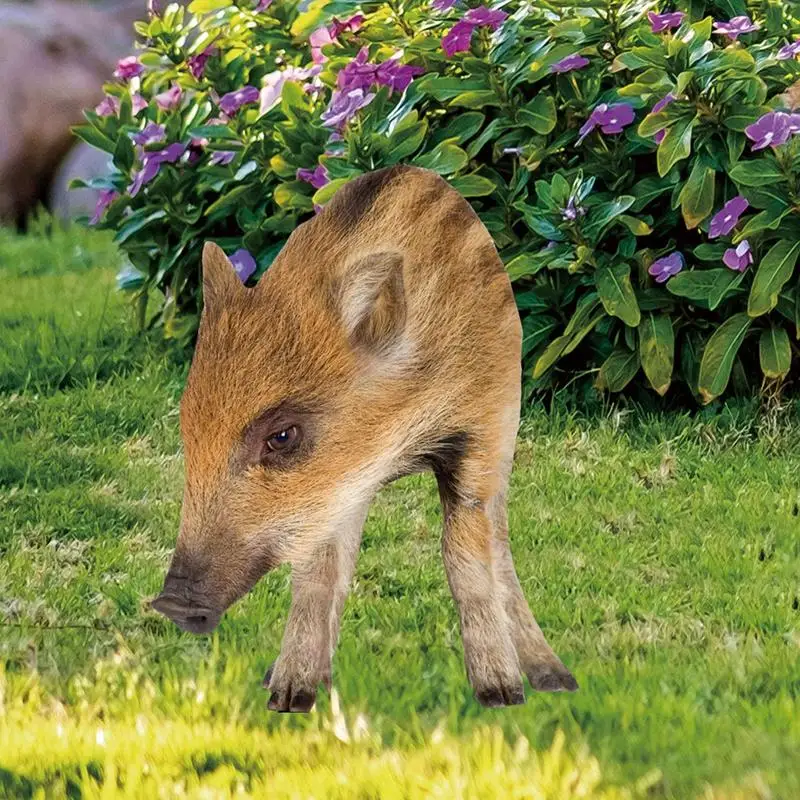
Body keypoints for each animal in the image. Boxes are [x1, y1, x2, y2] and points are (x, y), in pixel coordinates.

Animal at [151, 165, 578, 711]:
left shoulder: (481, 430)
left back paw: (555, 680)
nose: (171, 604)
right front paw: (287, 698)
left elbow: (465, 558)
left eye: (282, 436)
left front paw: (501, 696)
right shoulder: (333, 492)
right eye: (188, 426)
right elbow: (320, 573)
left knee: (498, 546)